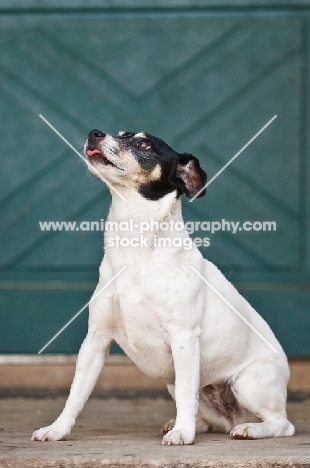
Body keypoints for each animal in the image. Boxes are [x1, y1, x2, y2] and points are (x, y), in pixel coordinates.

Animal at [32, 130, 296, 444]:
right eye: (118, 134)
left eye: (144, 144)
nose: (94, 133)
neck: (135, 249)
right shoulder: (95, 340)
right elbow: (75, 394)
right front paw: (56, 429)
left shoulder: (183, 338)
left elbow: (185, 392)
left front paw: (183, 434)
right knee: (207, 416)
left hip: (249, 384)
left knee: (282, 424)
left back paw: (248, 429)